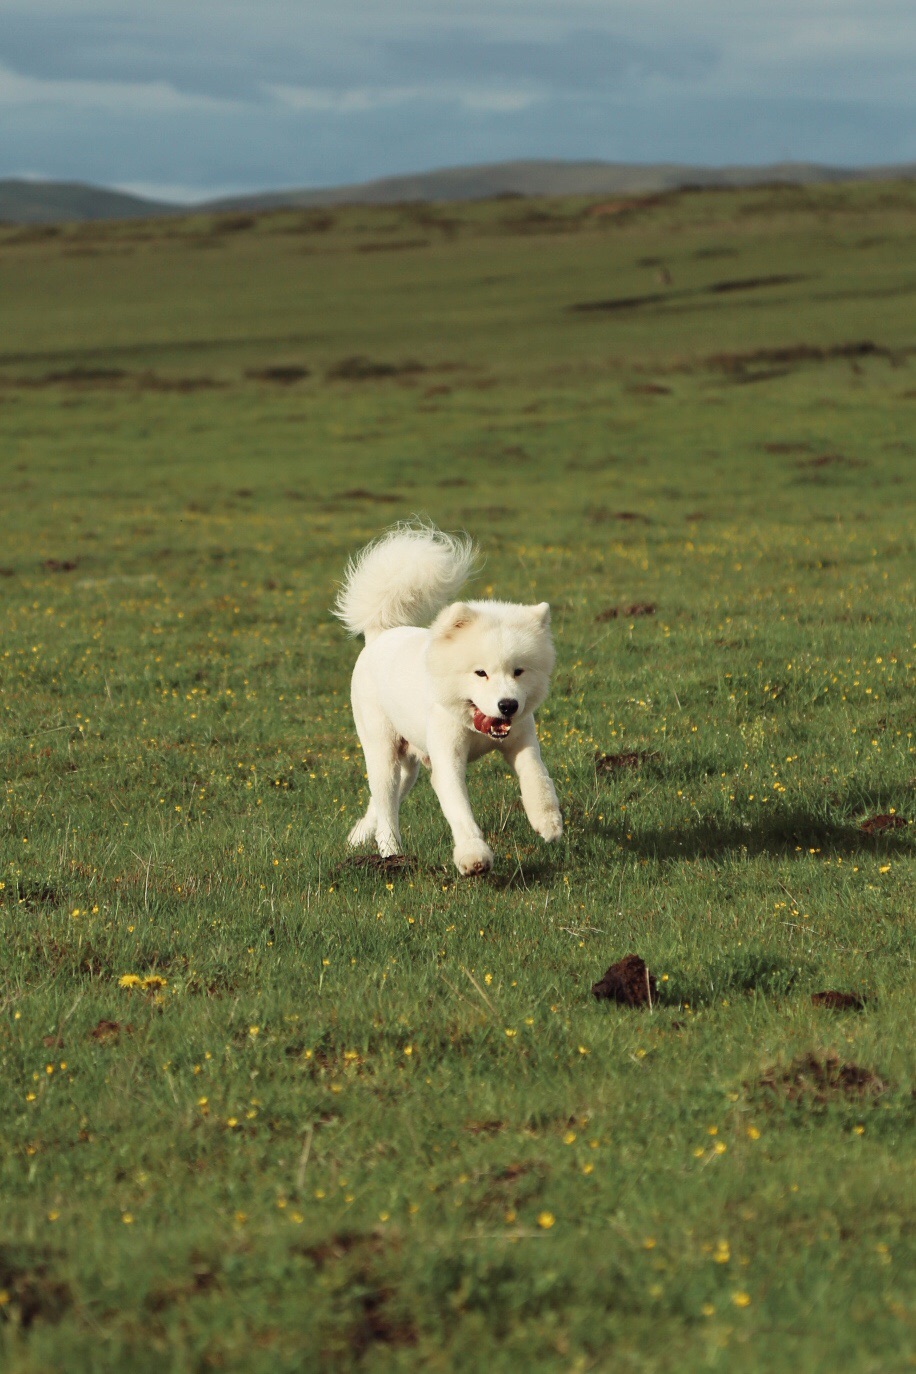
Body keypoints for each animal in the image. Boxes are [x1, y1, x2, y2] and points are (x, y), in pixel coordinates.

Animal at [336, 519, 565, 873]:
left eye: (519, 671)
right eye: (480, 673)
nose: (508, 706)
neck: (475, 724)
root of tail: (378, 636)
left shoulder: (522, 740)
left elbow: (537, 777)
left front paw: (548, 821)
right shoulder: (448, 760)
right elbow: (460, 812)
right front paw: (474, 857)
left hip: (408, 766)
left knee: (381, 800)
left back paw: (358, 837)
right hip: (382, 752)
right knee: (386, 808)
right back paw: (390, 854)